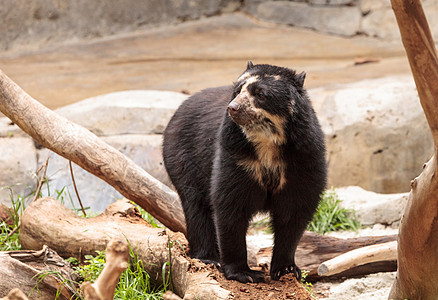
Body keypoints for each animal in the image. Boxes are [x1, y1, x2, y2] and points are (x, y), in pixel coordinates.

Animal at [163, 61, 326, 284]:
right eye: (238, 90)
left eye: (260, 93)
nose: (233, 108)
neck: (267, 142)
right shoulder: (236, 156)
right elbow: (231, 205)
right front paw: (244, 273)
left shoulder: (303, 159)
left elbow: (294, 211)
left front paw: (286, 269)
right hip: (184, 156)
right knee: (196, 206)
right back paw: (209, 258)